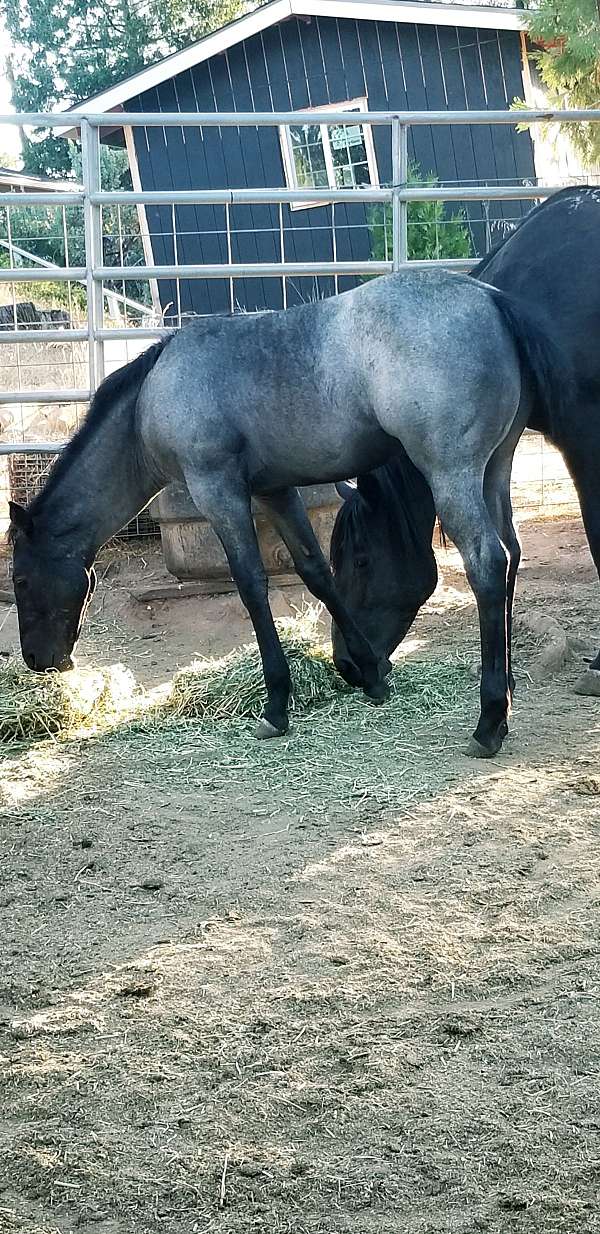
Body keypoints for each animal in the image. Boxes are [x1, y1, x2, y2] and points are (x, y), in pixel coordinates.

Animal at [11, 266, 570, 755]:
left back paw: (490, 721)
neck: (153, 394)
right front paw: (370, 673)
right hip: (495, 469)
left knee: (487, 563)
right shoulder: (275, 491)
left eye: (18, 580)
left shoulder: (218, 490)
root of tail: (490, 300)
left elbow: (251, 586)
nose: (38, 660)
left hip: (452, 473)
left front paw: (277, 703)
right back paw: (505, 691)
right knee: (511, 554)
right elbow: (314, 571)